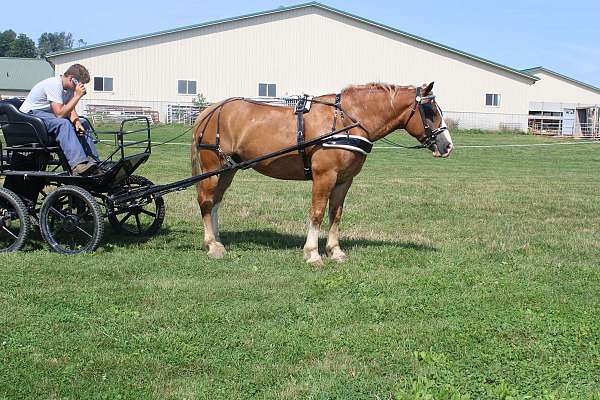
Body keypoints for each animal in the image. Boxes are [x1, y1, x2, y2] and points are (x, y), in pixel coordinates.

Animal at [193, 81, 454, 266]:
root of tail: (209, 111)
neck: (346, 121)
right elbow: (317, 213)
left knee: (215, 202)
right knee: (206, 201)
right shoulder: (324, 176)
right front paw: (312, 254)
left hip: (228, 169)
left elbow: (335, 214)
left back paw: (218, 241)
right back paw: (211, 245)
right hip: (212, 168)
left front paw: (334, 251)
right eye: (430, 111)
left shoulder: (344, 180)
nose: (447, 146)